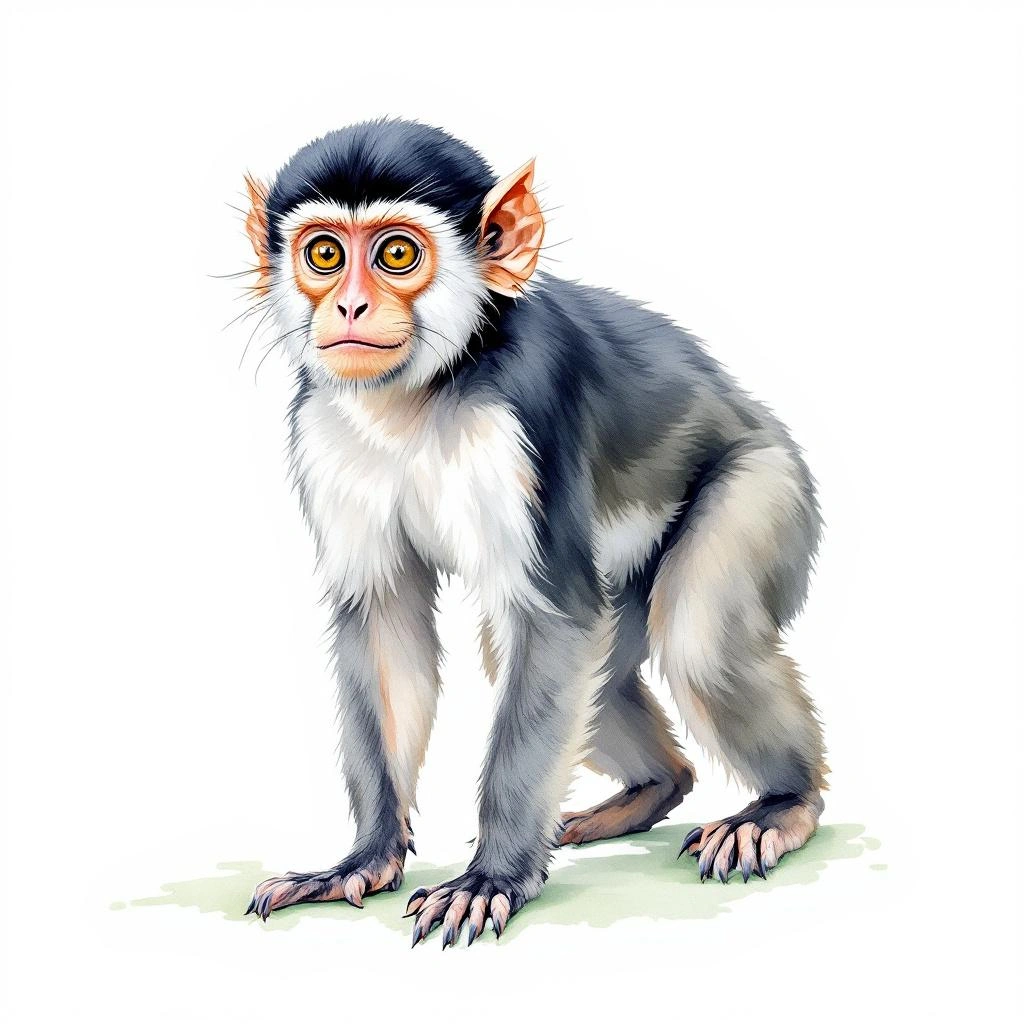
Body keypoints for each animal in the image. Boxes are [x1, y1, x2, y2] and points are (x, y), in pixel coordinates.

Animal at [238, 119, 827, 948]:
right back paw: (654, 788)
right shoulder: (324, 420)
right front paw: (364, 859)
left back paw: (785, 804)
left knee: (697, 641)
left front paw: (492, 879)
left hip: (770, 485)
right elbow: (384, 621)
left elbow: (557, 619)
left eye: (395, 254)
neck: (426, 391)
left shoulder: (525, 413)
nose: (349, 306)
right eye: (324, 254)